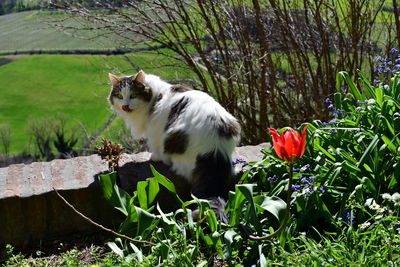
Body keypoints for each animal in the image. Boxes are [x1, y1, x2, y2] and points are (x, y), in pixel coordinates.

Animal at [107, 71, 241, 203]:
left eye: (133, 95)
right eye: (120, 96)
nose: (125, 106)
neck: (154, 96)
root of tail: (215, 149)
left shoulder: (154, 129)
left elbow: (154, 145)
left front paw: (155, 157)